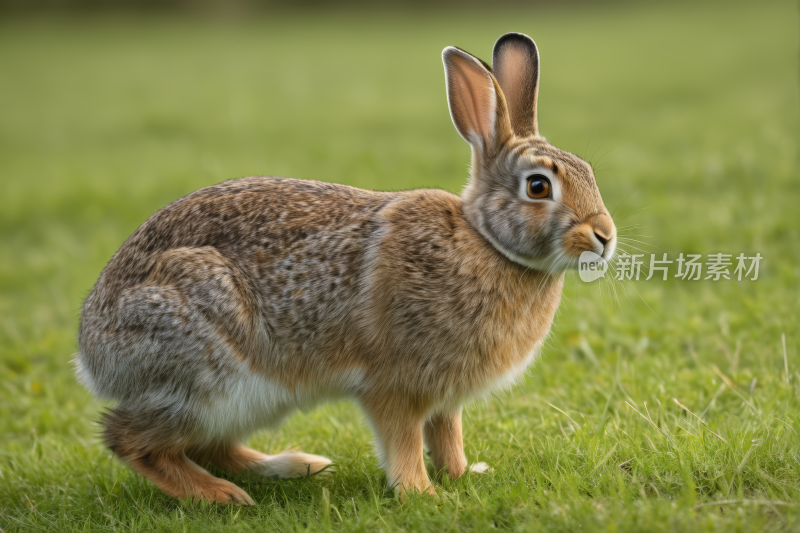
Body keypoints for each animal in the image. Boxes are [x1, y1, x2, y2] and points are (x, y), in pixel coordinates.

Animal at [75, 31, 620, 504]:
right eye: (538, 187)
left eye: (588, 172)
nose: (605, 236)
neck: (485, 241)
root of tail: (91, 351)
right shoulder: (393, 385)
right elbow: (403, 440)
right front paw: (422, 494)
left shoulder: (445, 397)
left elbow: (448, 434)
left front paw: (464, 474)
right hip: (212, 371)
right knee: (131, 438)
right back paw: (223, 495)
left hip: (249, 398)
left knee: (208, 444)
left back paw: (292, 465)